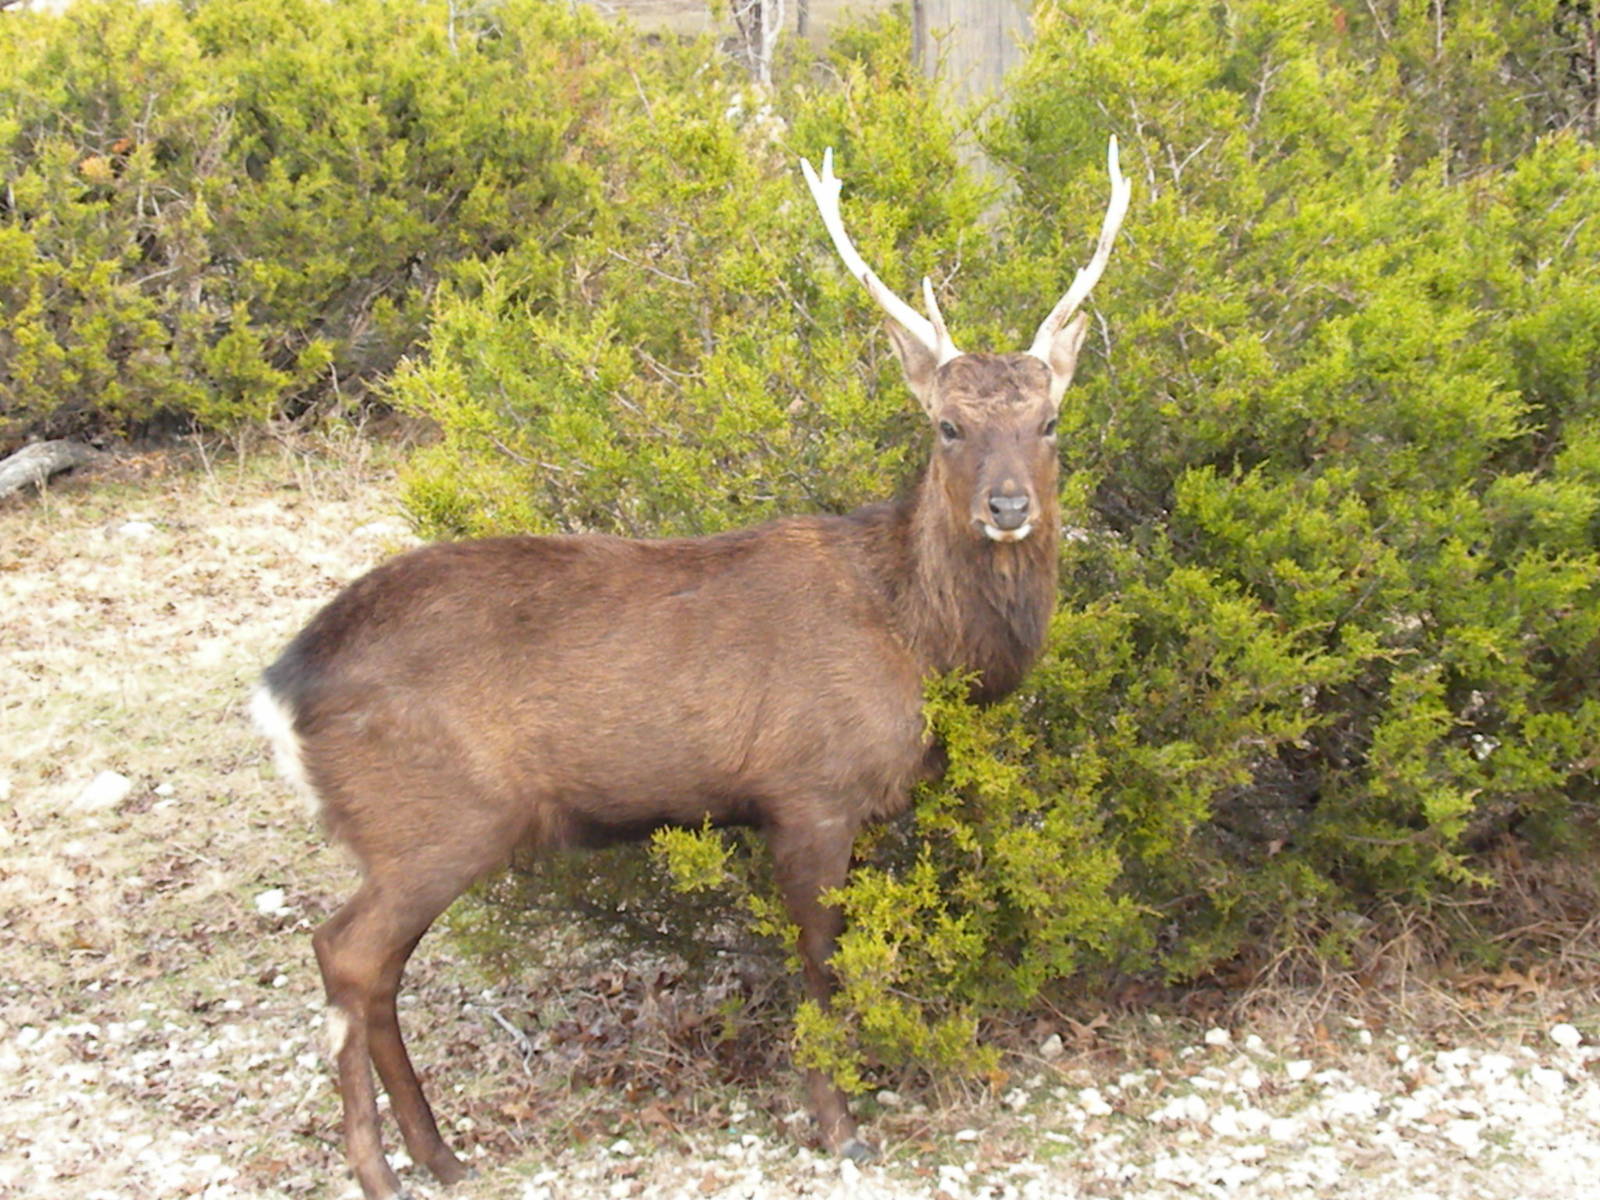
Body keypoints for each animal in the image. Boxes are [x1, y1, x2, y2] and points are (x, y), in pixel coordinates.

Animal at [251, 138, 1129, 1200]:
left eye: (1049, 421)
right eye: (948, 426)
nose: (1007, 507)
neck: (916, 644)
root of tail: (282, 686)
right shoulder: (810, 789)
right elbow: (821, 961)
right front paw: (839, 1124)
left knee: (374, 973)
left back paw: (443, 1154)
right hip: (432, 818)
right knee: (345, 954)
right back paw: (381, 1169)